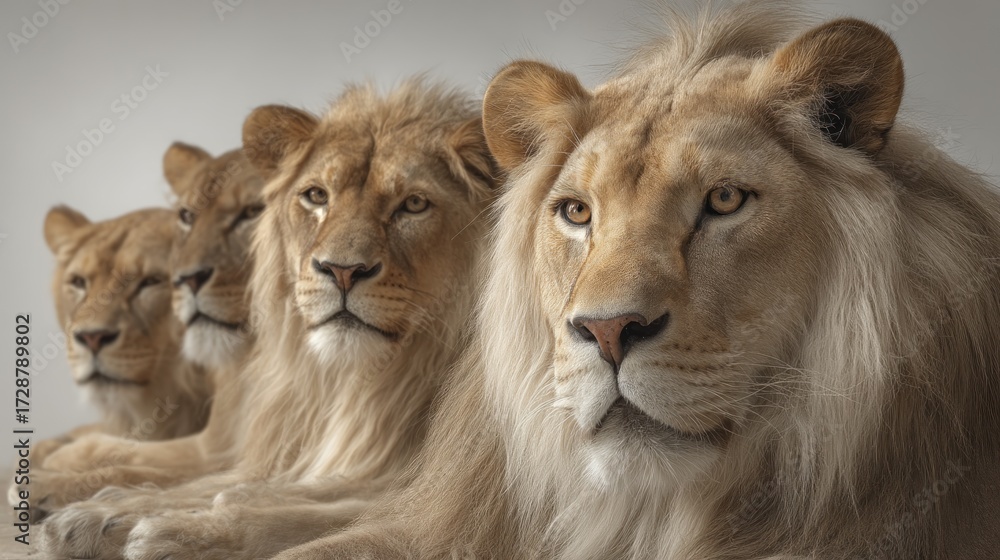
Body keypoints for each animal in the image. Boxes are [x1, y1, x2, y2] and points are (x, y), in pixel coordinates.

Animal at [38, 79, 496, 560]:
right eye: (316, 196)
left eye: (414, 204)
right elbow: (189, 479)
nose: (341, 270)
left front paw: (168, 528)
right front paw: (91, 508)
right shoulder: (253, 449)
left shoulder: (405, 482)